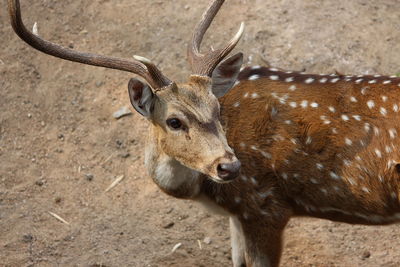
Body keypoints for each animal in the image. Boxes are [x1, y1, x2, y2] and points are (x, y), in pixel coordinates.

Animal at [7, 0, 400, 266]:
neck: (205, 193)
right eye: (174, 121)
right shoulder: (239, 217)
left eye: (216, 109)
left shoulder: (265, 208)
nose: (229, 166)